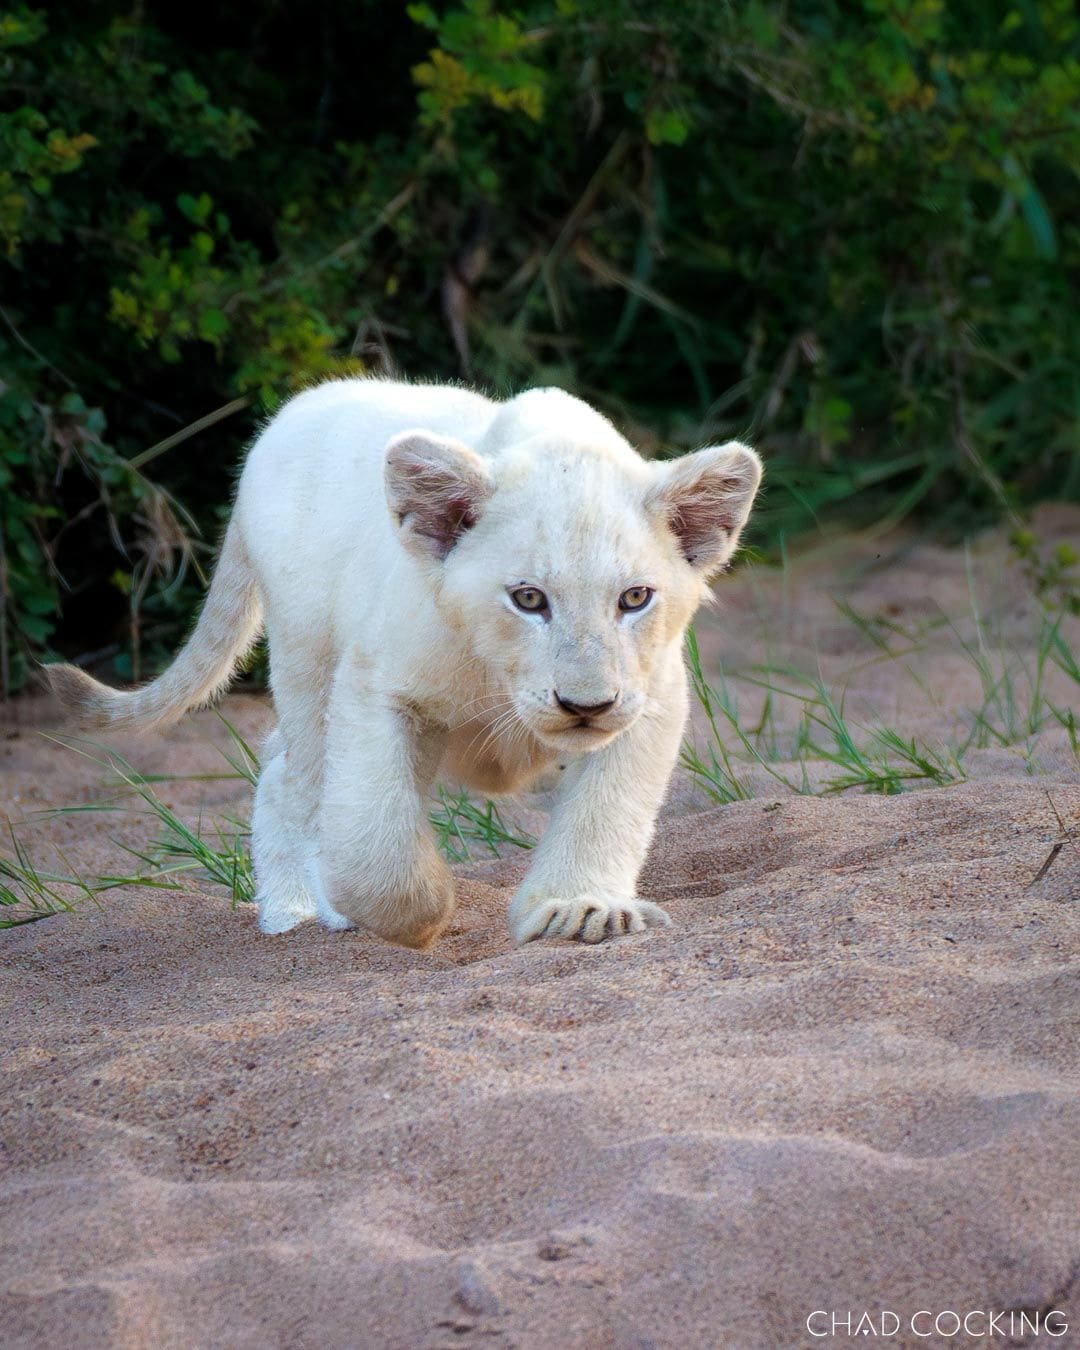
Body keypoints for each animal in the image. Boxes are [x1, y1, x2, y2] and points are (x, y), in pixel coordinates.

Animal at [46, 379, 762, 949]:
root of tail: (284, 417)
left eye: (635, 598)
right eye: (529, 599)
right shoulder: (376, 686)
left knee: (281, 763)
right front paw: (415, 915)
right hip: (306, 657)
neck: (498, 675)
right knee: (300, 777)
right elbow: (374, 839)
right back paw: (300, 913)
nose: (586, 706)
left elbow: (605, 809)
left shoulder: (650, 696)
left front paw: (576, 911)